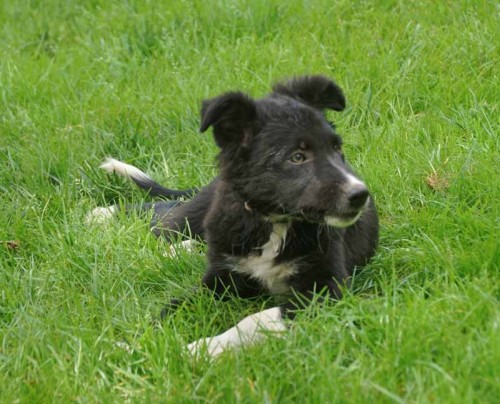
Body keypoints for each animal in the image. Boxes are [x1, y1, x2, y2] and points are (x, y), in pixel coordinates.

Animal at [89, 75, 379, 357]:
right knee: (165, 216)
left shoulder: (325, 289)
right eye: (297, 157)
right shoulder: (218, 281)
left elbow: (254, 320)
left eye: (337, 149)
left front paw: (199, 349)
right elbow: (173, 307)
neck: (272, 222)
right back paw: (104, 214)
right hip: (194, 217)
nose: (360, 195)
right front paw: (136, 345)